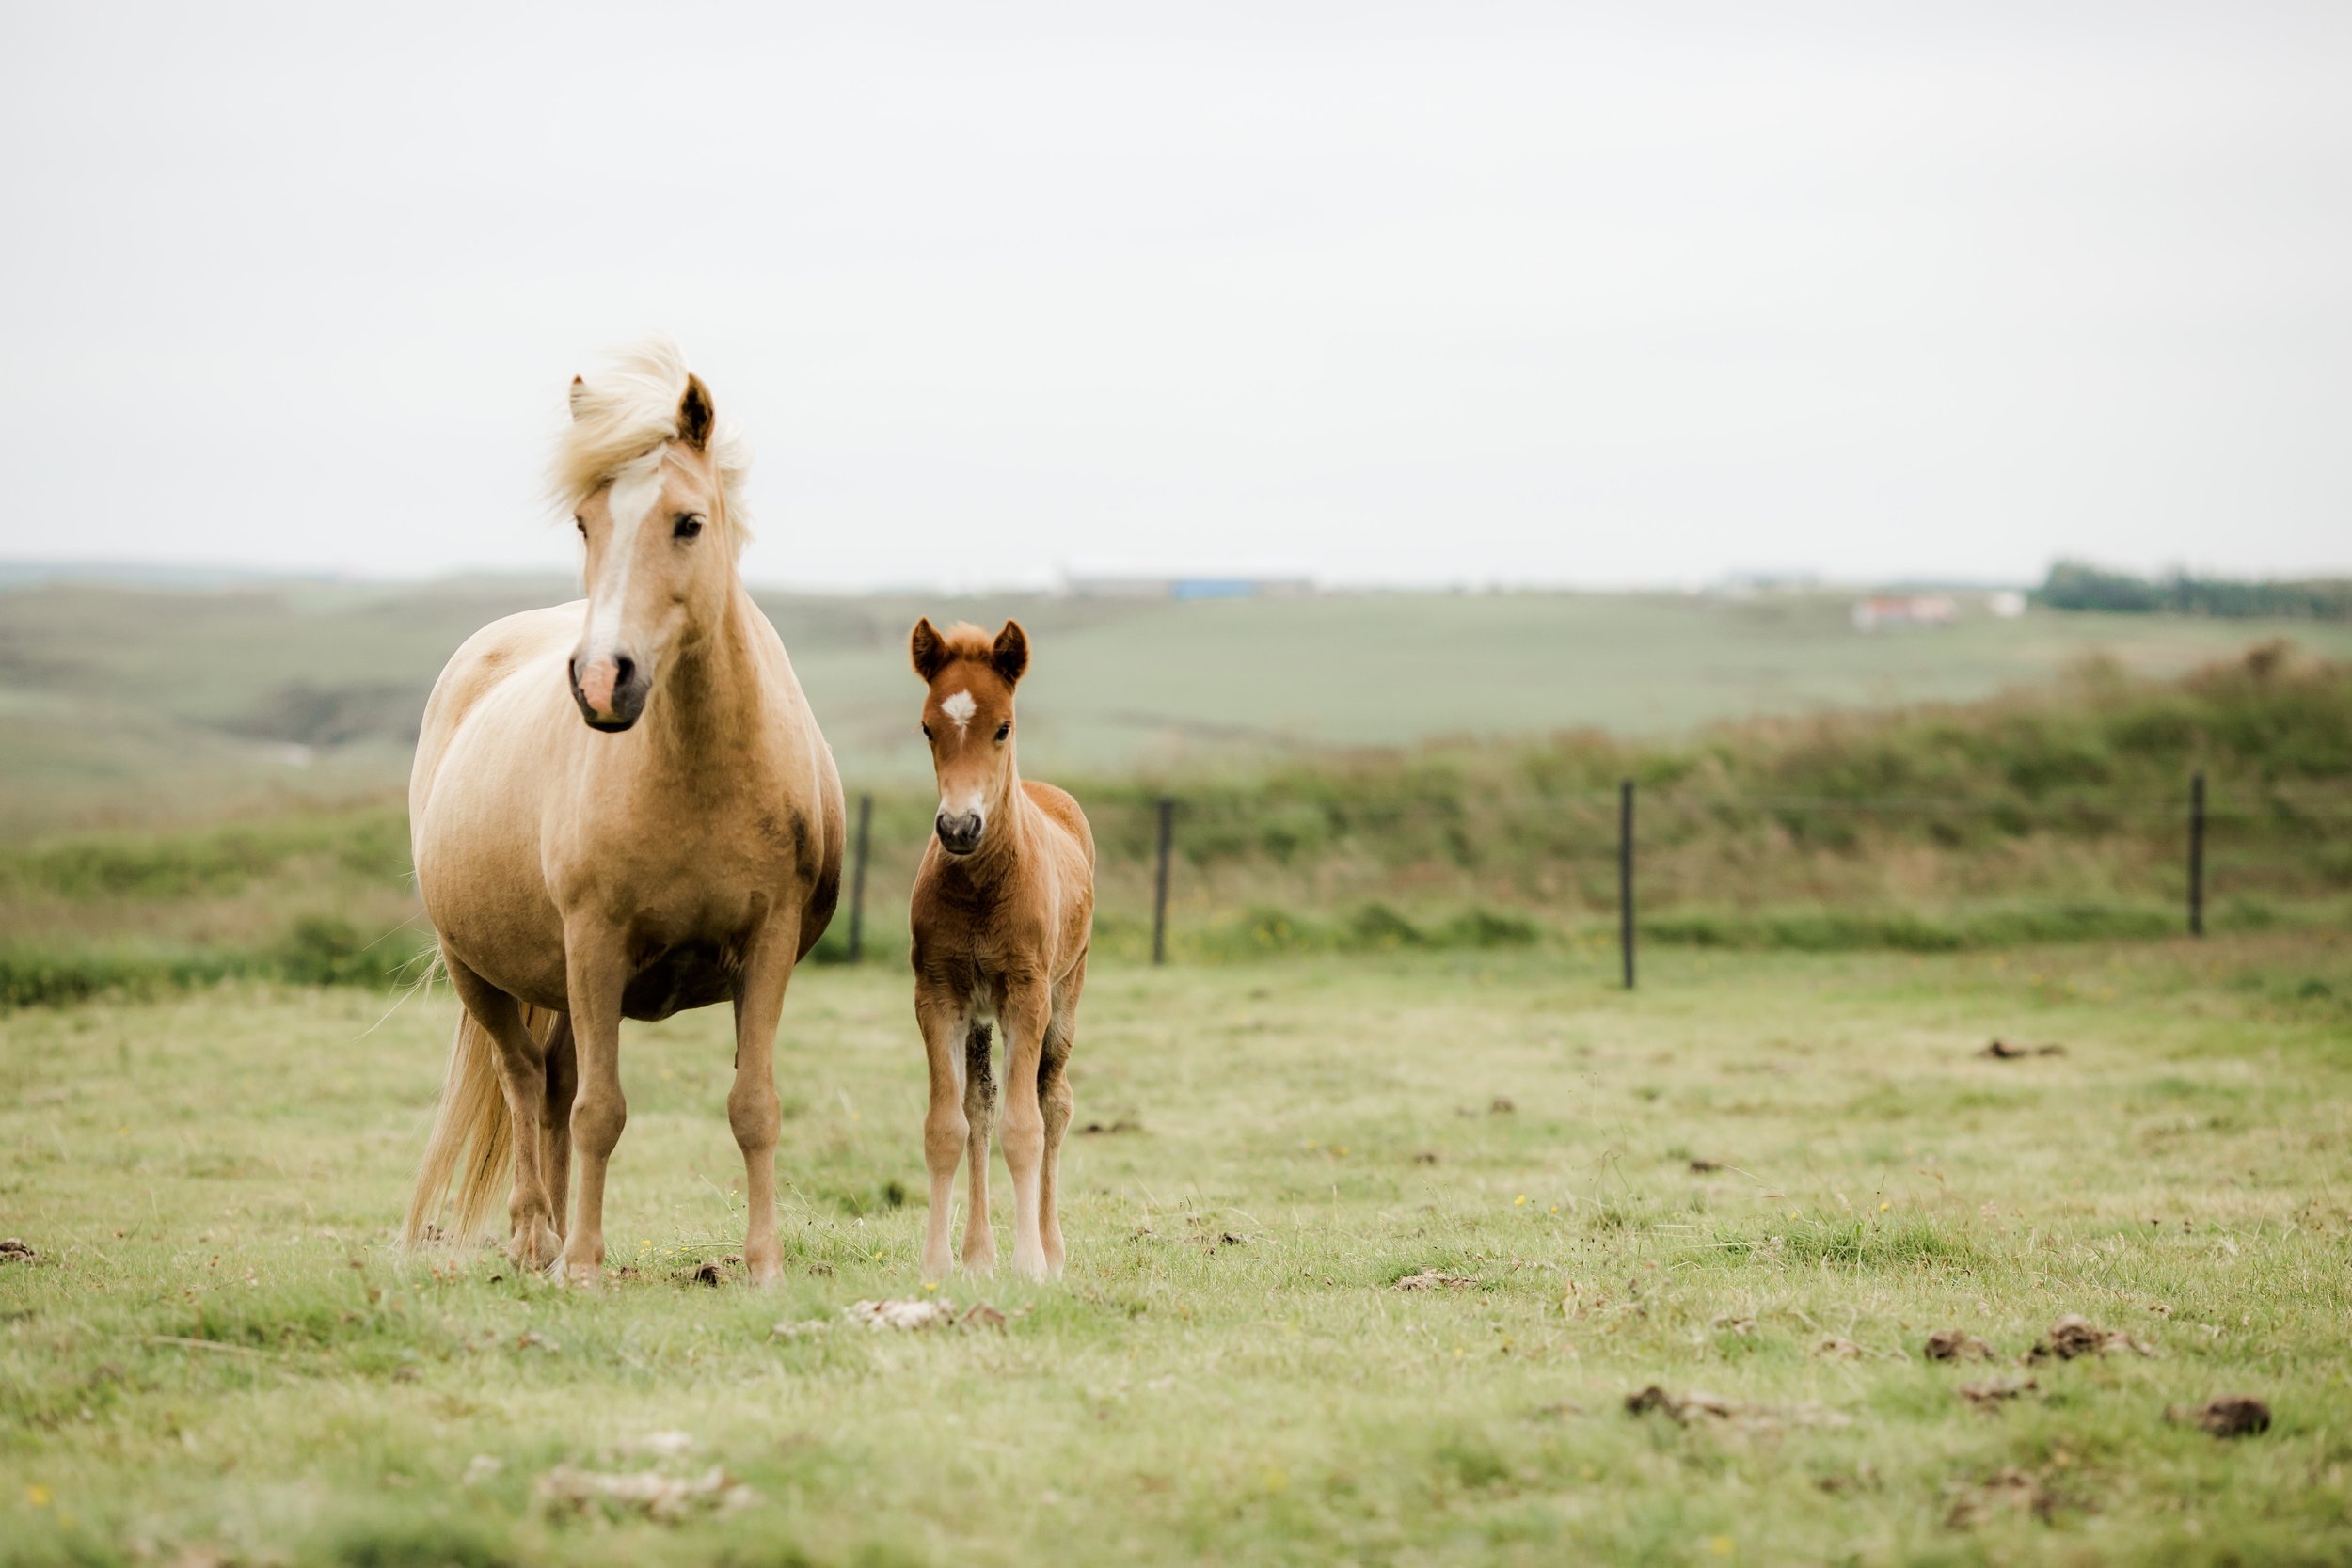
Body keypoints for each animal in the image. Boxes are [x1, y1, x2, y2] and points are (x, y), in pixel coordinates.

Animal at [405, 342, 847, 1288]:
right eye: (584, 522)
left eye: (688, 523)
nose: (604, 680)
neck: (698, 772)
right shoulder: (596, 941)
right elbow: (599, 1111)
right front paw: (582, 1266)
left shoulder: (768, 943)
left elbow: (752, 1105)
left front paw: (763, 1264)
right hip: (482, 971)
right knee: (525, 1079)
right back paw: (539, 1238)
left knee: (553, 1082)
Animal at [903, 620, 1096, 1278]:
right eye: (927, 727)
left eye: (1003, 726)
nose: (959, 827)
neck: (982, 889)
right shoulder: (938, 994)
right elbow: (946, 1125)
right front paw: (938, 1265)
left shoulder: (1027, 993)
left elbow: (1025, 1126)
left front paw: (1031, 1265)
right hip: (981, 1014)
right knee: (979, 1106)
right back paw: (979, 1254)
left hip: (1065, 995)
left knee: (1054, 1102)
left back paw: (1053, 1249)